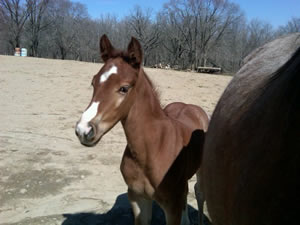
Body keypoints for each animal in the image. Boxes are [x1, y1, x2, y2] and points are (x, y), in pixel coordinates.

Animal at [75, 35, 209, 225]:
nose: (83, 130)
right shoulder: (138, 198)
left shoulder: (171, 206)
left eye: (124, 88)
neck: (150, 150)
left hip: (202, 169)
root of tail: (192, 107)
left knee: (199, 191)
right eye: (93, 83)